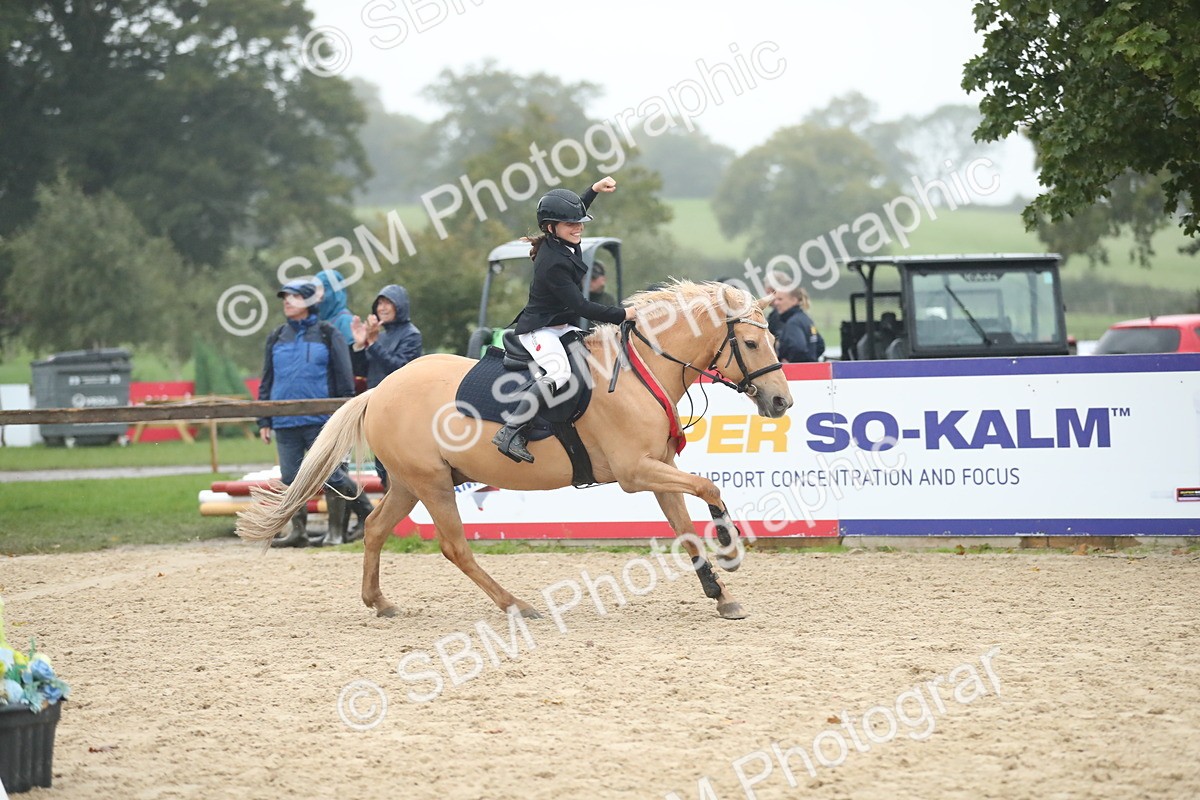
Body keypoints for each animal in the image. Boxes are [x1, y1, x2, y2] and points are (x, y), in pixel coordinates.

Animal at [237, 280, 794, 620]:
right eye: (750, 344)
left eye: (770, 339)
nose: (781, 401)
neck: (639, 371)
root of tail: (378, 390)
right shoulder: (637, 472)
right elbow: (709, 487)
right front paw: (730, 550)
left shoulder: (660, 468)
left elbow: (685, 527)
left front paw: (722, 596)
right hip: (432, 485)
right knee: (455, 547)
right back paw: (517, 605)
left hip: (412, 484)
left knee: (375, 528)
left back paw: (379, 601)